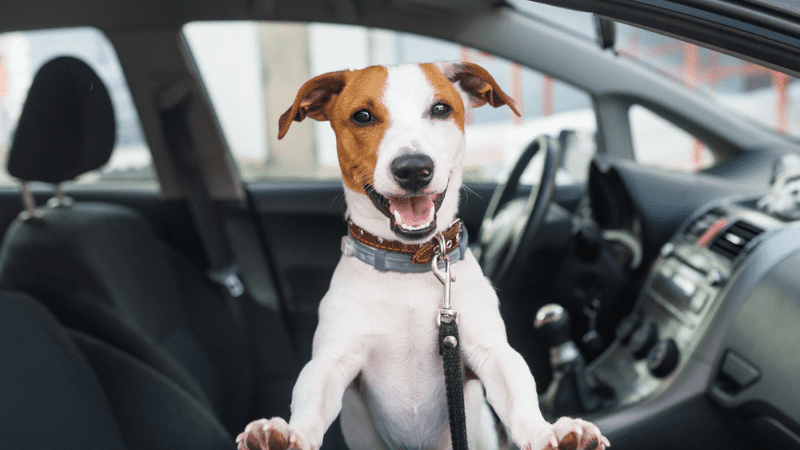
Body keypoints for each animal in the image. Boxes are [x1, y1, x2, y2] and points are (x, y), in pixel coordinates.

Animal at [234, 60, 608, 450]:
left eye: (441, 109)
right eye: (362, 116)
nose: (413, 168)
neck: (408, 263)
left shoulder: (489, 351)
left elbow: (519, 392)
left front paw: (549, 431)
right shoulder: (333, 359)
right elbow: (311, 399)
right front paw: (286, 435)